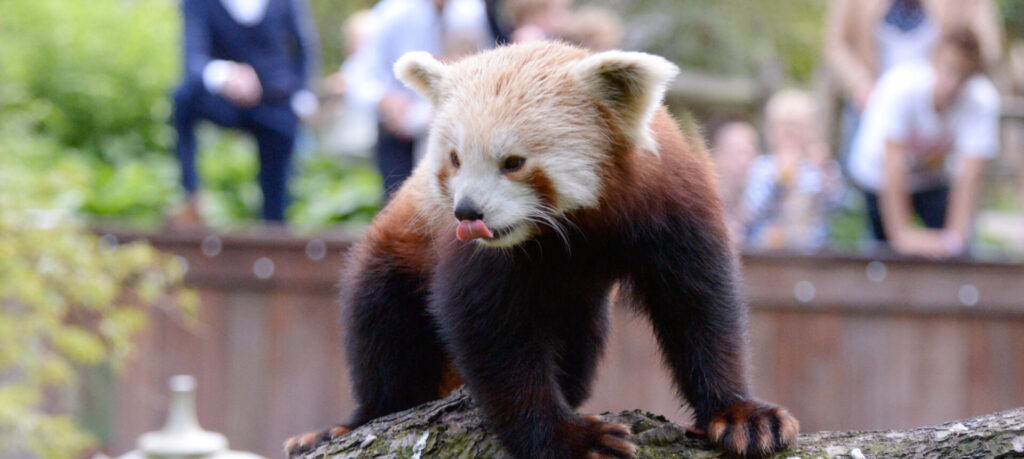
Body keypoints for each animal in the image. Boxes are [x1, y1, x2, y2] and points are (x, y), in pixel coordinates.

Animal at [286, 41, 798, 458]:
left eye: (513, 162)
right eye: (455, 159)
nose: (466, 212)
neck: (574, 228)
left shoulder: (671, 207)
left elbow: (699, 306)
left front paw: (739, 414)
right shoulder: (477, 259)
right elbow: (491, 337)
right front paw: (570, 440)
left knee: (577, 349)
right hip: (392, 260)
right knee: (381, 337)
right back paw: (352, 421)